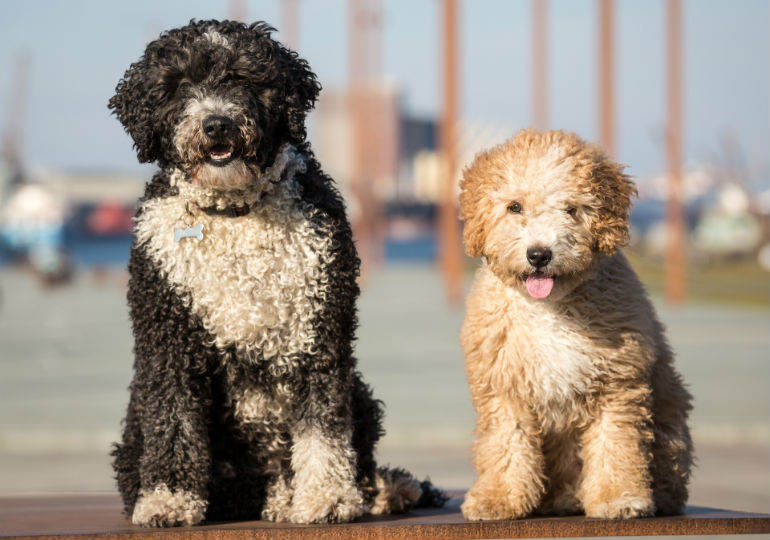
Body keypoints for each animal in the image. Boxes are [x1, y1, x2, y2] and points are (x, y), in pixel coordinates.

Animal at [109, 19, 444, 524]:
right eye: (179, 85)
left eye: (244, 79)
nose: (216, 123)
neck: (235, 214)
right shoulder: (168, 336)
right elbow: (174, 418)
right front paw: (168, 498)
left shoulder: (319, 329)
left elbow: (323, 423)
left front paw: (328, 495)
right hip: (138, 425)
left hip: (359, 391)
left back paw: (377, 489)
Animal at [460, 129, 692, 520]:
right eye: (515, 207)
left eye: (571, 209)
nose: (539, 254)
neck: (549, 308)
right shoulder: (502, 386)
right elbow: (506, 444)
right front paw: (498, 499)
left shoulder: (618, 384)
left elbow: (616, 444)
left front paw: (618, 498)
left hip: (669, 416)